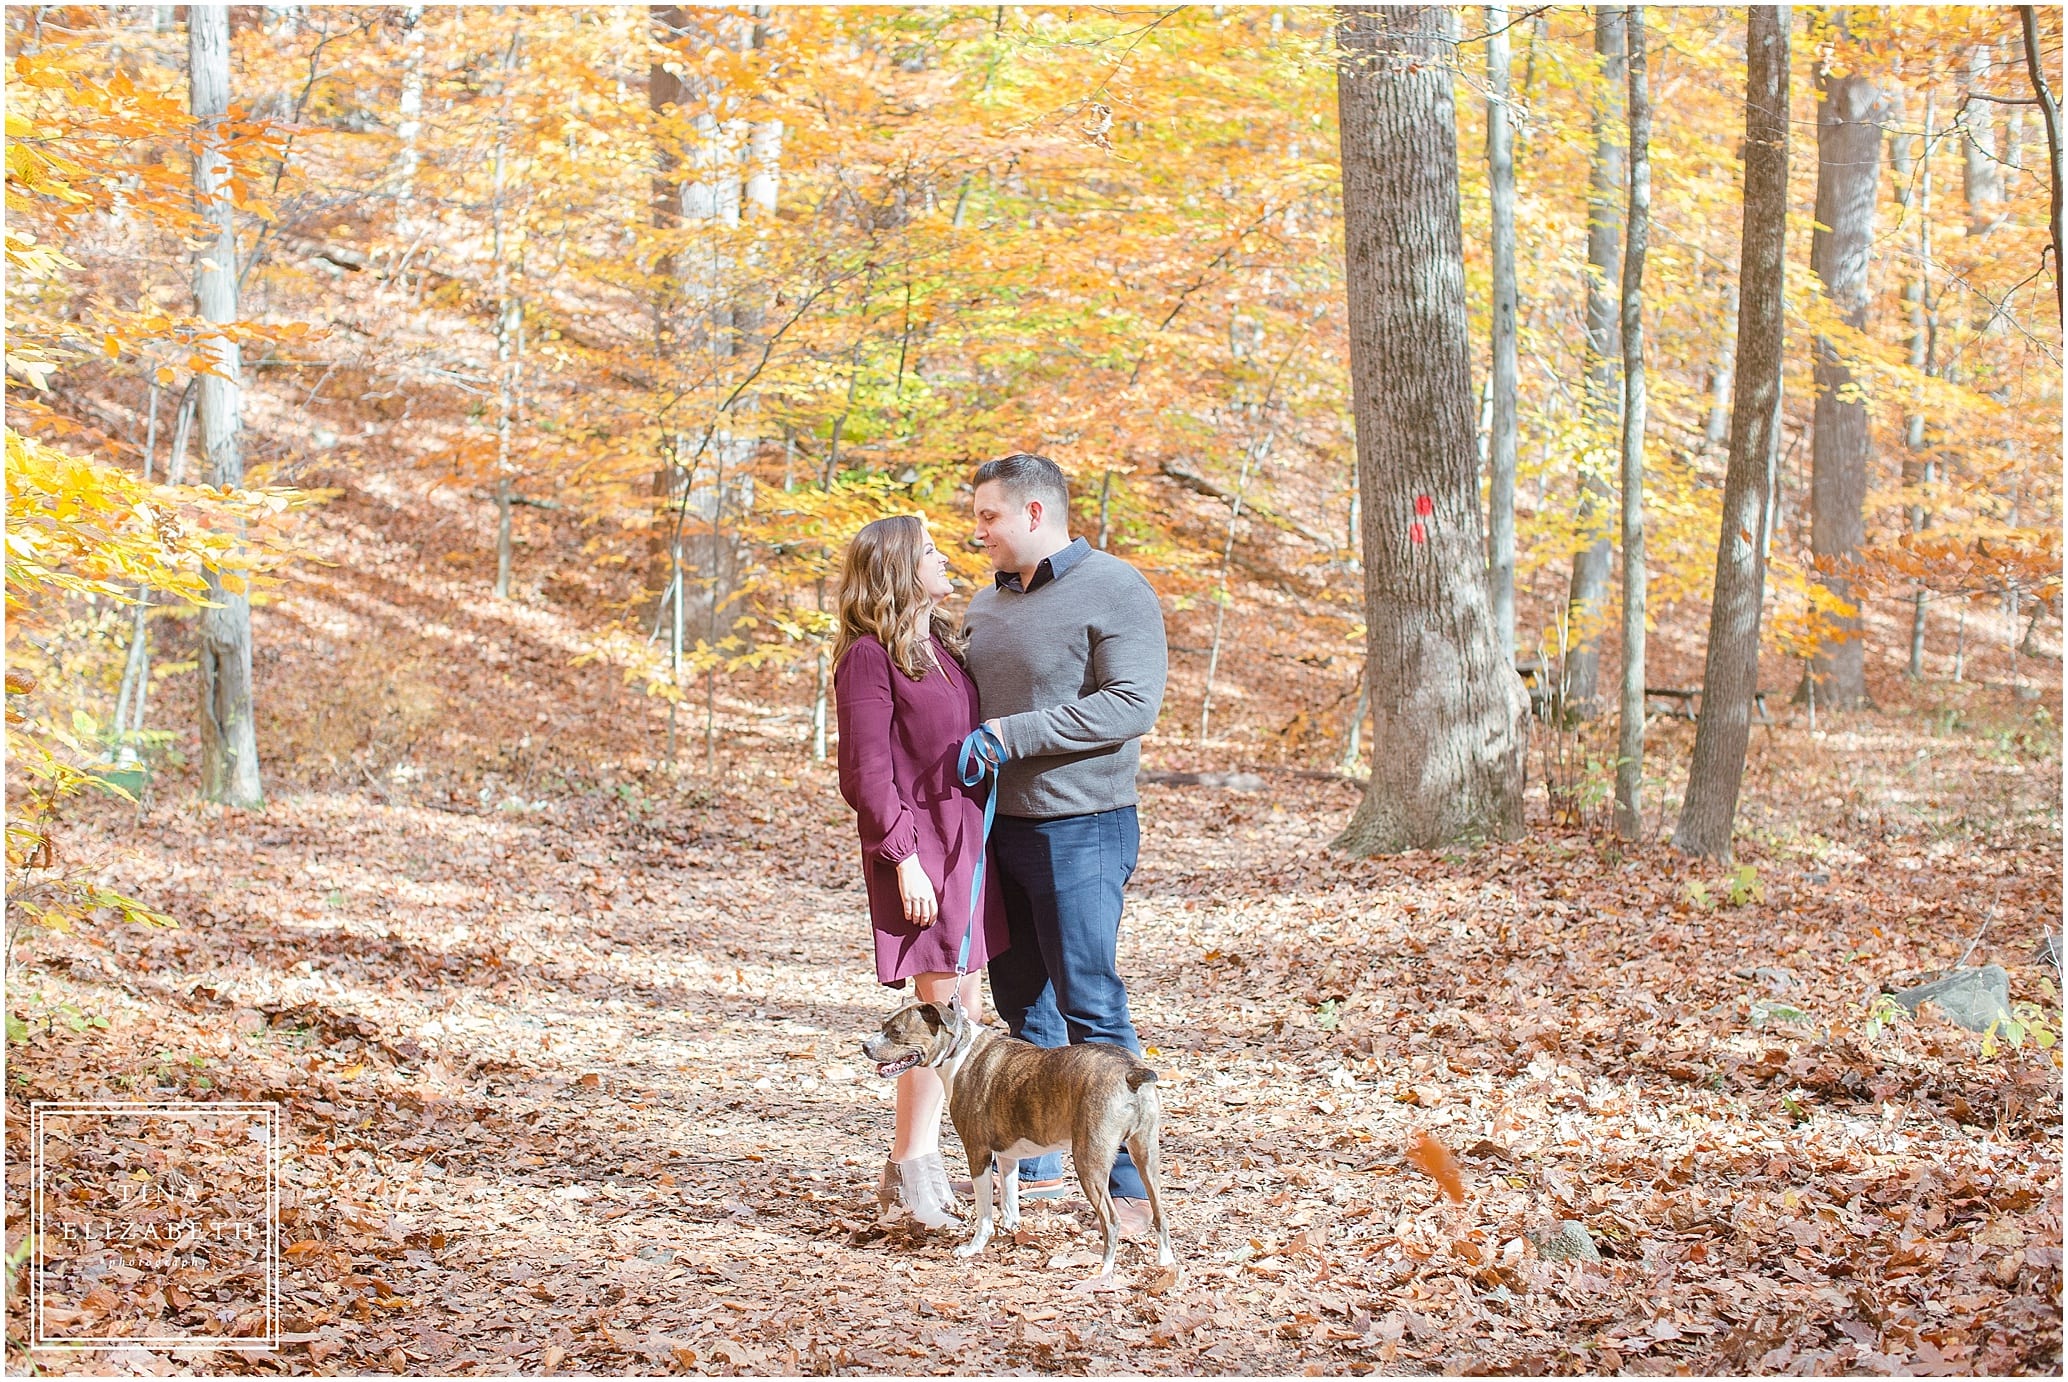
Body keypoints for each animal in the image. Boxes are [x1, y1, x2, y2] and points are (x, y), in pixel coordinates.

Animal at [860, 997, 1182, 1282]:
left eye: (896, 1032)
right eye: (883, 1024)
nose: (865, 1046)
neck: (959, 1051)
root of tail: (1131, 1071)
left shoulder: (977, 1152)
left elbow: (984, 1212)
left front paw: (974, 1247)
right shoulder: (1007, 1156)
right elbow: (1010, 1199)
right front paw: (1012, 1229)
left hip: (1089, 1162)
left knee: (1111, 1220)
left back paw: (1103, 1271)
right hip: (1146, 1156)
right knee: (1160, 1212)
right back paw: (1165, 1262)